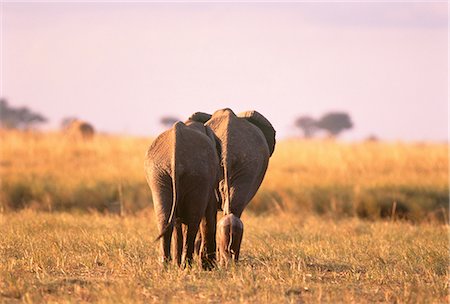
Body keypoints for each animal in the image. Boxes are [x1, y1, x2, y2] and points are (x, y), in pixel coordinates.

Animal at [144, 119, 220, 268]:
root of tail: (176, 146)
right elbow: (209, 212)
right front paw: (209, 267)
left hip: (159, 175)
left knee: (165, 219)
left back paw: (166, 265)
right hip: (197, 174)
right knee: (193, 221)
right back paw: (186, 265)